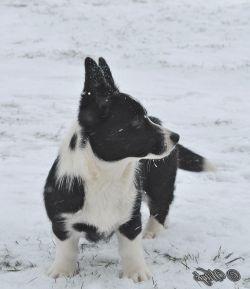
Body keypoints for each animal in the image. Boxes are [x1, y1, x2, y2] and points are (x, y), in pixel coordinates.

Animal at [44, 58, 212, 282]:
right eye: (137, 121)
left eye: (146, 116)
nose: (176, 137)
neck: (107, 174)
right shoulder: (62, 220)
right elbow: (66, 248)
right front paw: (62, 272)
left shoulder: (131, 219)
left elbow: (131, 249)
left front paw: (137, 274)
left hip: (160, 183)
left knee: (161, 206)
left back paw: (152, 232)